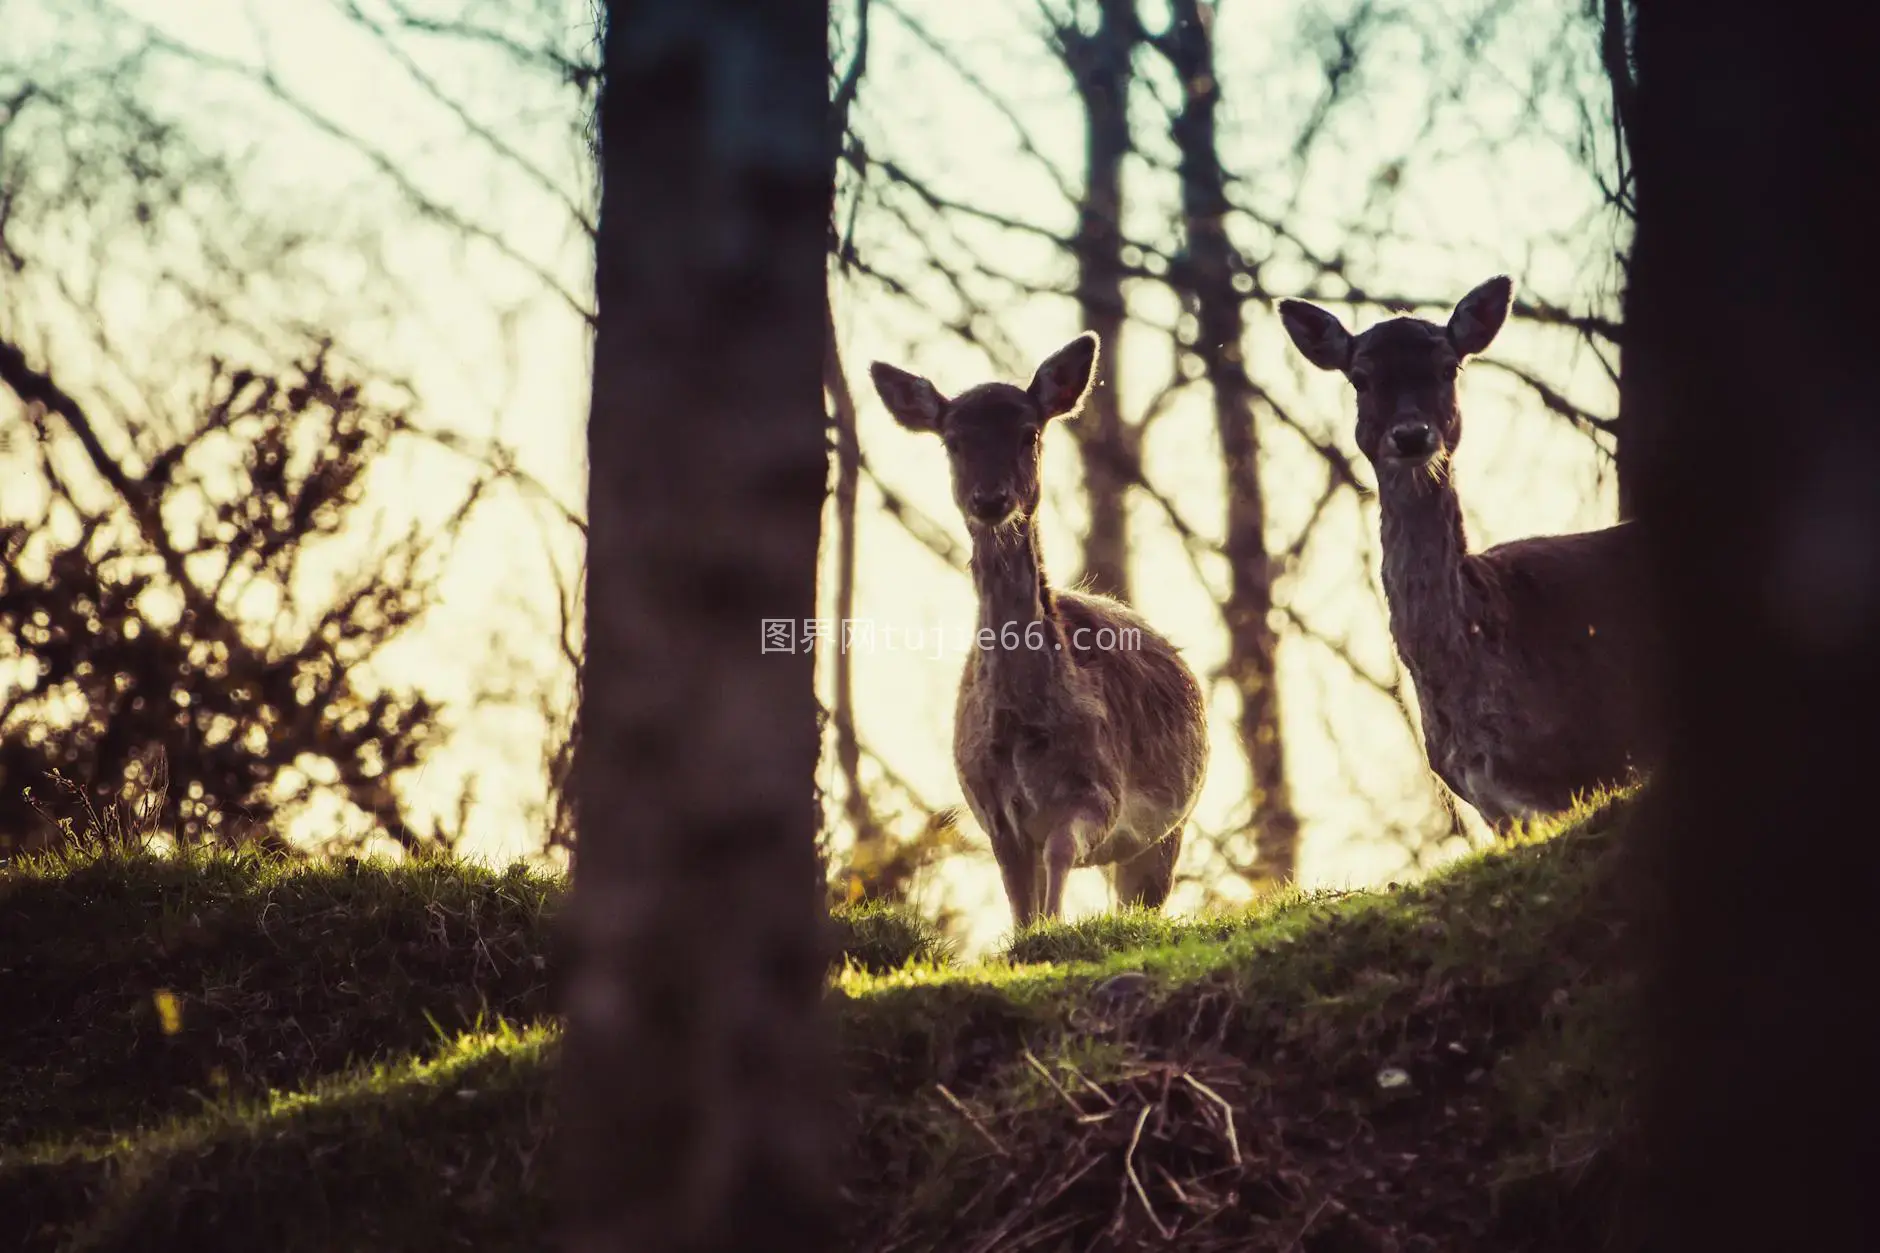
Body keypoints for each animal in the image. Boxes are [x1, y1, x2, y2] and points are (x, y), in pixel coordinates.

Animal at [868, 334, 1210, 925]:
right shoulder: (988, 806)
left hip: (1172, 827)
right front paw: (1032, 930)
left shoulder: (1101, 788)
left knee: (1142, 899)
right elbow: (1017, 900)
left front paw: (1054, 925)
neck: (1025, 722)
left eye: (1029, 432)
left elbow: (1061, 849)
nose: (990, 499)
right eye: (953, 441)